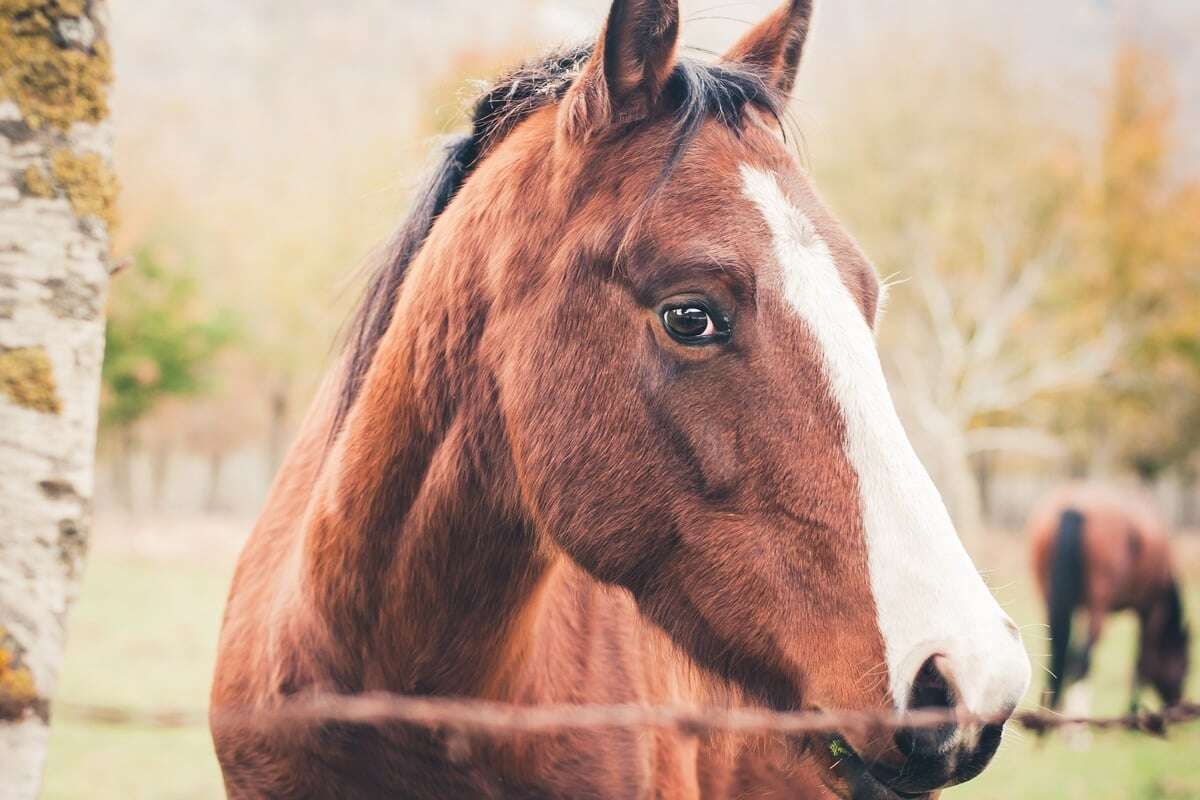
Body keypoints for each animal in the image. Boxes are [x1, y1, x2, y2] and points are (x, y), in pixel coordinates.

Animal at [1032, 482, 1190, 714]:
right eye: (1185, 663)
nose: (1177, 702)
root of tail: (1075, 507)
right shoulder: (1149, 610)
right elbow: (1142, 661)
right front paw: (1133, 712)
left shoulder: (1079, 609)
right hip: (1099, 609)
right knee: (1081, 664)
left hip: (1050, 600)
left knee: (1062, 656)